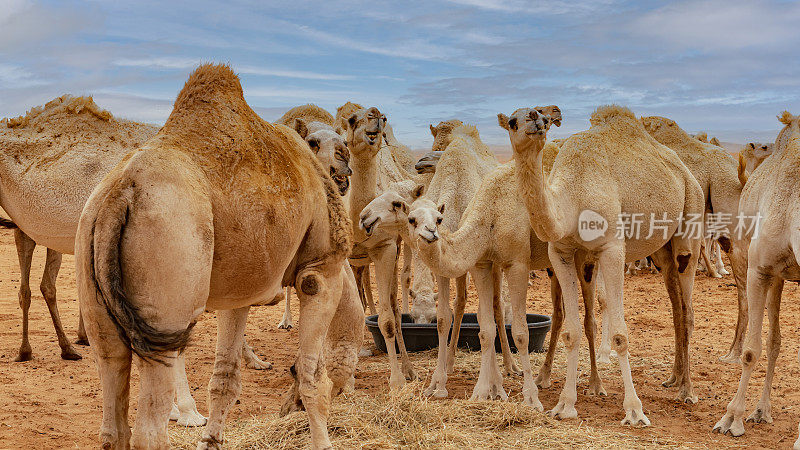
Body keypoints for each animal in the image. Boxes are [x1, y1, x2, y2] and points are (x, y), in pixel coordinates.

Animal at [76, 64, 358, 450]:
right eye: (317, 142)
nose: (345, 157)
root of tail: (120, 192)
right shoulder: (320, 272)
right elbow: (312, 376)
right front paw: (321, 441)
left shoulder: (239, 292)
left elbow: (224, 377)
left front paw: (211, 438)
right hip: (170, 278)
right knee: (149, 429)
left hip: (93, 277)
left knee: (112, 401)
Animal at [504, 103, 704, 424]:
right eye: (512, 121)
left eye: (543, 117)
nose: (536, 119)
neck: (573, 196)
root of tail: (686, 173)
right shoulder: (560, 252)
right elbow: (571, 331)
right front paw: (565, 405)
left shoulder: (612, 248)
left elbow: (621, 334)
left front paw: (634, 411)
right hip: (661, 252)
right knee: (676, 308)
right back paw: (673, 379)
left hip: (691, 224)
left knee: (688, 310)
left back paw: (687, 392)